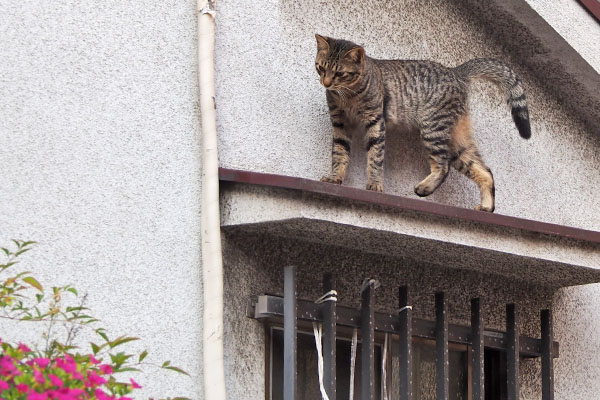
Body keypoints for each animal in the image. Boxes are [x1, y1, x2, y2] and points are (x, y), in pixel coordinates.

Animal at [314, 34, 528, 212]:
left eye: (340, 73)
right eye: (321, 68)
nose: (326, 83)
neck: (346, 97)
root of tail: (455, 71)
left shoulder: (375, 122)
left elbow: (375, 157)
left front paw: (374, 185)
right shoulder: (340, 124)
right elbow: (339, 153)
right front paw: (334, 178)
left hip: (433, 128)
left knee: (443, 165)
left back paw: (424, 188)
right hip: (457, 139)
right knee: (485, 171)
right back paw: (486, 207)